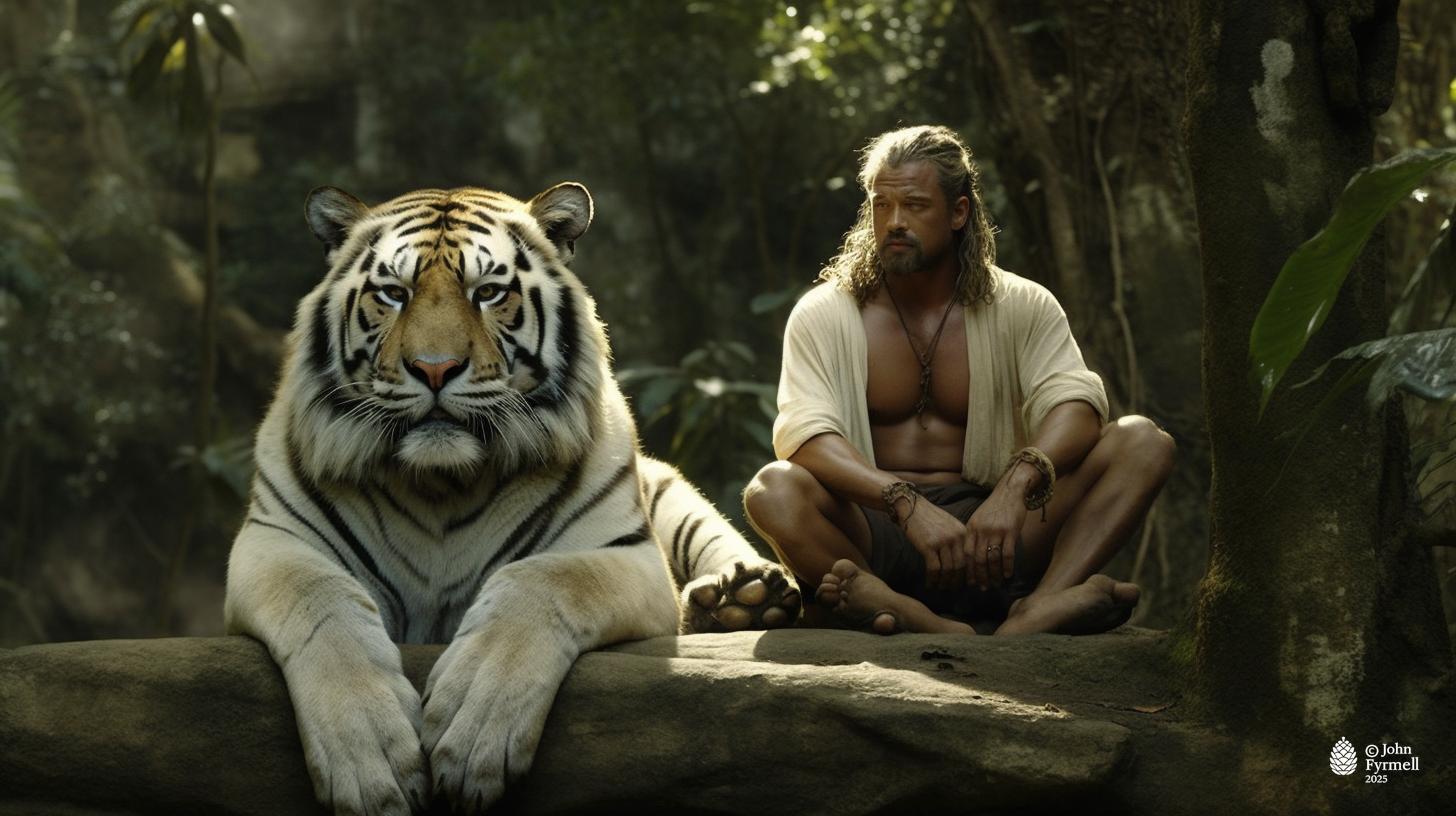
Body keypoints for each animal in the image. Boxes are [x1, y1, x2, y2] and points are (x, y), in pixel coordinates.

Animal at [223, 181, 800, 816]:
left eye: (488, 292)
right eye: (394, 293)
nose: (434, 369)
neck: (441, 483)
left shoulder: (626, 553)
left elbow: (544, 580)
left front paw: (472, 730)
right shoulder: (273, 544)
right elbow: (321, 601)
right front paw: (370, 756)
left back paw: (746, 597)